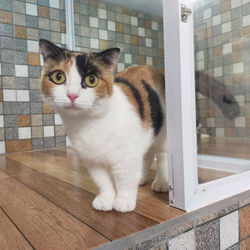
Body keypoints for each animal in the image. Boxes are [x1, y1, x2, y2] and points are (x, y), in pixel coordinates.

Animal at [39, 38, 168, 212]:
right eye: (58, 77)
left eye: (91, 80)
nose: (72, 95)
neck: (90, 124)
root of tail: (147, 67)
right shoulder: (93, 161)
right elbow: (103, 182)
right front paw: (106, 199)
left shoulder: (126, 156)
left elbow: (124, 180)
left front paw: (124, 201)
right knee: (147, 154)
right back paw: (140, 177)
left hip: (163, 134)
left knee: (162, 156)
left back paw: (161, 183)